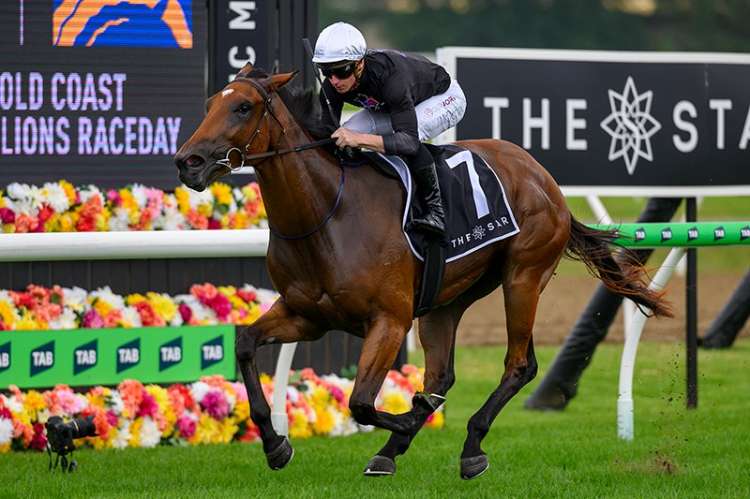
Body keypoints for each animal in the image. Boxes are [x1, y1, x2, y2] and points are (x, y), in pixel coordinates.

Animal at [174, 65, 671, 480]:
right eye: (210, 102)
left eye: (243, 106)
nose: (188, 162)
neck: (326, 213)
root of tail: (544, 179)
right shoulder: (306, 316)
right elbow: (244, 343)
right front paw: (276, 445)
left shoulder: (389, 321)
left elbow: (360, 402)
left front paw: (411, 415)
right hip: (445, 301)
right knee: (441, 376)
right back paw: (392, 450)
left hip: (523, 277)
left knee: (519, 365)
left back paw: (470, 446)